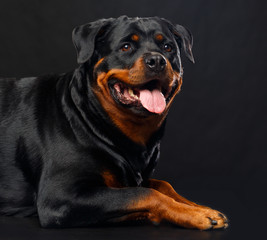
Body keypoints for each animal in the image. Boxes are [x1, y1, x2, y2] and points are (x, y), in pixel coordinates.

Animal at [0, 15, 229, 230]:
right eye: (126, 46)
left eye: (167, 47)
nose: (157, 60)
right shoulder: (59, 197)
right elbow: (144, 193)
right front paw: (195, 215)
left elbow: (163, 185)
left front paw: (200, 208)